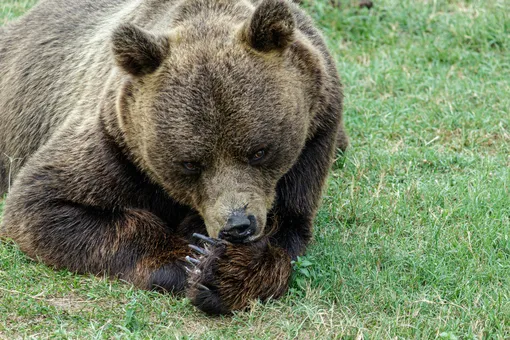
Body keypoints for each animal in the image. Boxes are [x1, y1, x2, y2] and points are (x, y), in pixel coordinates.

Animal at [0, 0, 346, 314]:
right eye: (190, 163)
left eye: (259, 151)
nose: (237, 225)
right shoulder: (115, 144)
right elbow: (44, 205)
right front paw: (191, 260)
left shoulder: (315, 138)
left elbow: (288, 226)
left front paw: (224, 272)